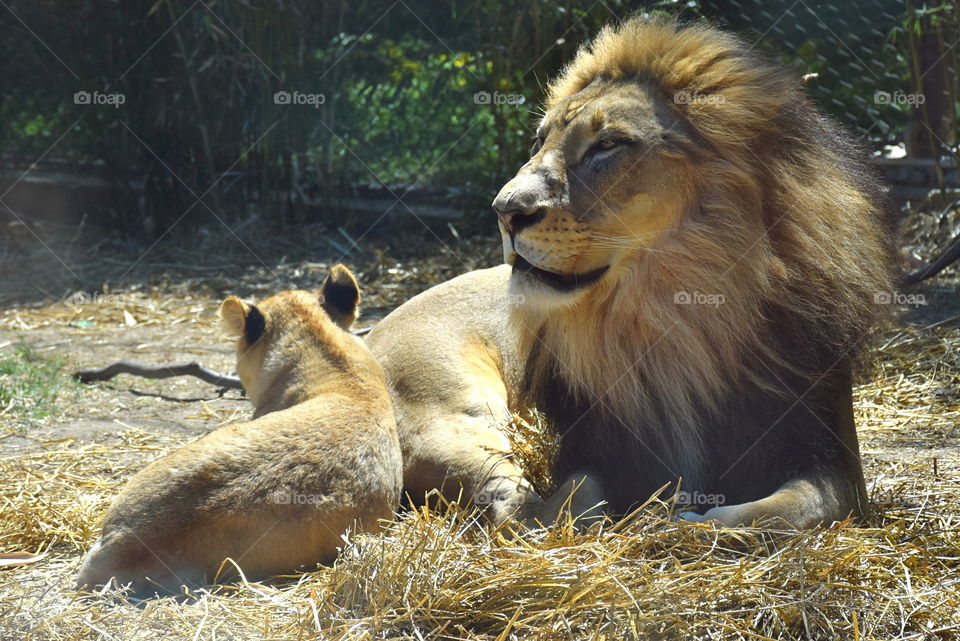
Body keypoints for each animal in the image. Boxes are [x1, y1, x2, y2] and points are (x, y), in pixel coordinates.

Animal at [366, 17, 895, 528]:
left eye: (609, 145)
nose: (505, 211)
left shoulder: (827, 455)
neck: (676, 311)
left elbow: (785, 510)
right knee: (505, 499)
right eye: (539, 140)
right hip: (454, 415)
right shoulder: (603, 448)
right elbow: (573, 498)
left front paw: (698, 521)